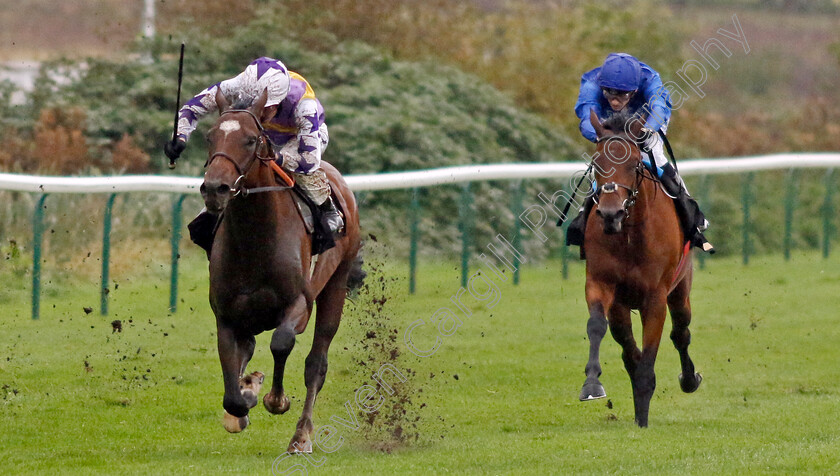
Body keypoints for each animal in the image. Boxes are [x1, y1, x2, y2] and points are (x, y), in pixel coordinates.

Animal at [204, 87, 364, 452]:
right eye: (210, 137)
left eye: (250, 140)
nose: (215, 188)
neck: (255, 238)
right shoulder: (225, 315)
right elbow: (232, 387)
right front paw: (245, 394)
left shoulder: (299, 303)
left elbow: (281, 343)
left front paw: (275, 399)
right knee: (249, 347)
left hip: (335, 285)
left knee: (316, 362)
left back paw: (301, 436)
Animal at [576, 110, 704, 428]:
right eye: (596, 164)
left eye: (634, 164)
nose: (611, 213)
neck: (630, 236)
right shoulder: (601, 285)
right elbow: (599, 328)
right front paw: (592, 385)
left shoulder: (655, 297)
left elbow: (650, 353)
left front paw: (642, 417)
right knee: (626, 343)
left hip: (680, 289)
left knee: (681, 331)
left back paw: (689, 379)